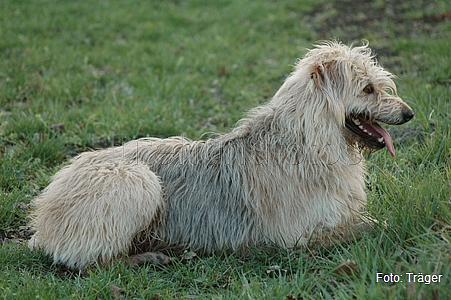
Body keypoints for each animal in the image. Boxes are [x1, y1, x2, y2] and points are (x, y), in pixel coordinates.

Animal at [29, 40, 414, 270]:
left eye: (379, 85)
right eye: (367, 89)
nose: (409, 113)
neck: (305, 141)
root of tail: (44, 216)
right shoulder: (297, 237)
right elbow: (372, 225)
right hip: (136, 180)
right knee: (89, 261)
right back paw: (146, 257)